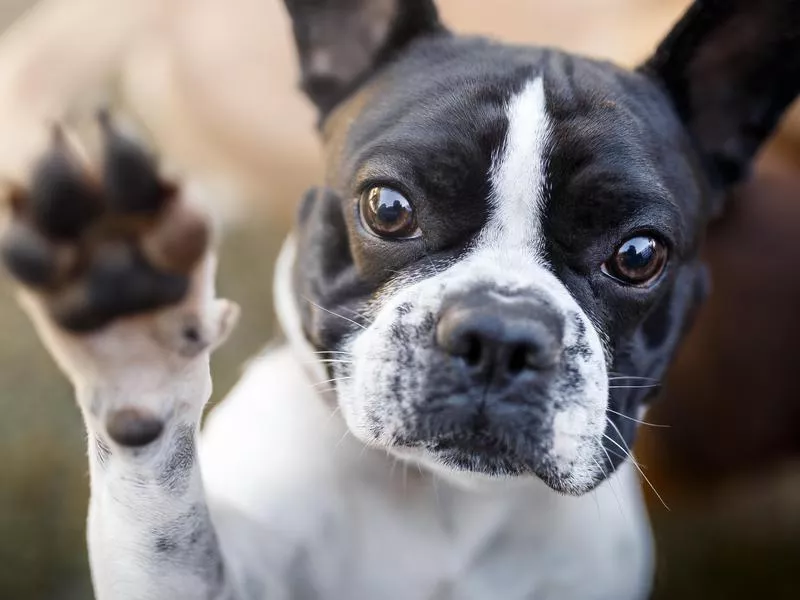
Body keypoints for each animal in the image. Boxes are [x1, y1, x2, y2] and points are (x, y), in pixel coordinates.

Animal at [0, 1, 796, 600]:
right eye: (387, 208)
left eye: (638, 255)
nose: (501, 335)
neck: (445, 502)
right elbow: (166, 509)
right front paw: (132, 329)